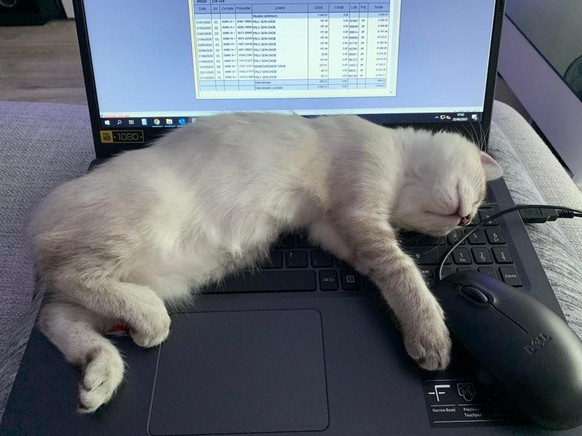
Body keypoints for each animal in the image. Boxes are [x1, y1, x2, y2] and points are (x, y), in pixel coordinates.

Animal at [28, 113, 503, 413]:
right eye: (480, 192)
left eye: (479, 206)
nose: (465, 219)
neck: (398, 160)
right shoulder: (361, 214)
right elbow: (405, 270)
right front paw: (432, 335)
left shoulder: (339, 231)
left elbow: (388, 274)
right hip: (142, 227)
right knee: (64, 274)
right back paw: (148, 321)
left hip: (143, 279)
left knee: (55, 314)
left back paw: (99, 376)